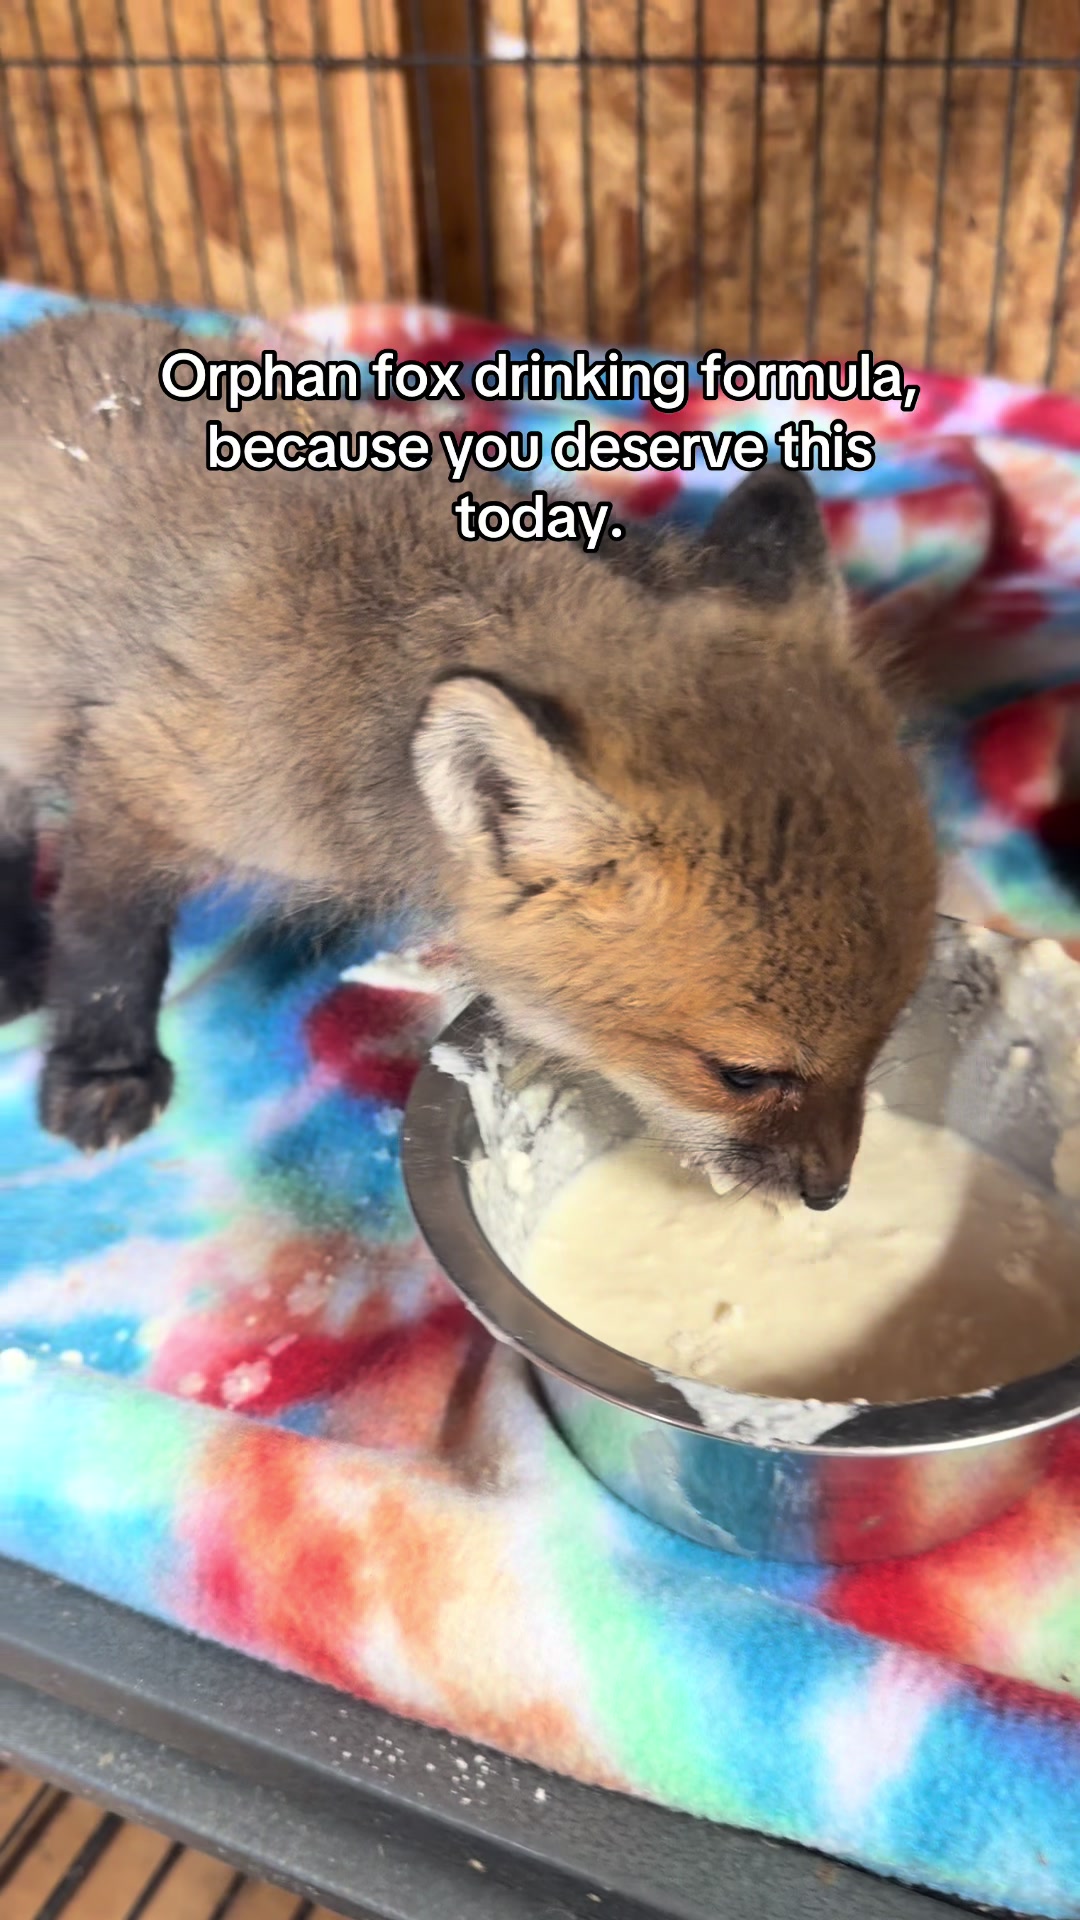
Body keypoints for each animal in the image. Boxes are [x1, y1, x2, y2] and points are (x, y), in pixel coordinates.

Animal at [0, 310, 937, 1206]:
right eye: (743, 1075)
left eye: (889, 1030)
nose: (830, 1195)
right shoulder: (138, 779)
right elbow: (107, 948)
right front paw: (101, 1068)